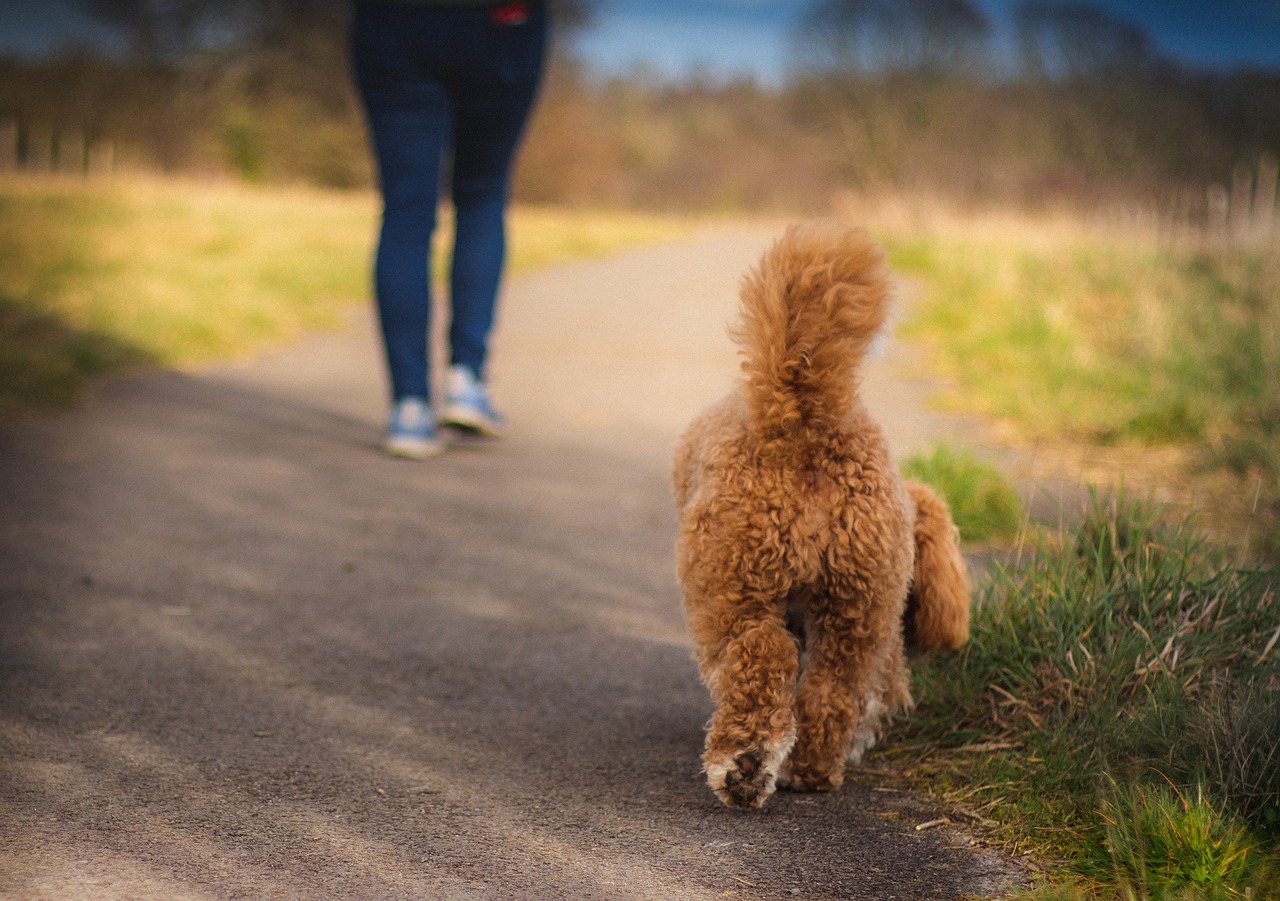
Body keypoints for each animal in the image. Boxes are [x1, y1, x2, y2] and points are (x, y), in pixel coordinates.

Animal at [675, 220, 962, 808]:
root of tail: (806, 425)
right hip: (858, 607)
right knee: (831, 691)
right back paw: (808, 768)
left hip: (732, 588)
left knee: (761, 656)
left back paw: (744, 764)